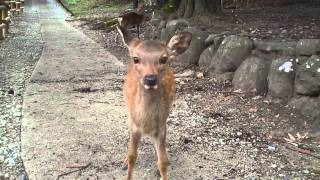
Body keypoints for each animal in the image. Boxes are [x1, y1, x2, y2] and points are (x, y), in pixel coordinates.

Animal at [117, 25, 191, 180]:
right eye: (136, 59)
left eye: (163, 59)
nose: (150, 79)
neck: (146, 122)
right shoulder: (135, 126)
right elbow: (132, 156)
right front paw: (127, 163)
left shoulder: (161, 127)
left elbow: (162, 162)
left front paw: (163, 168)